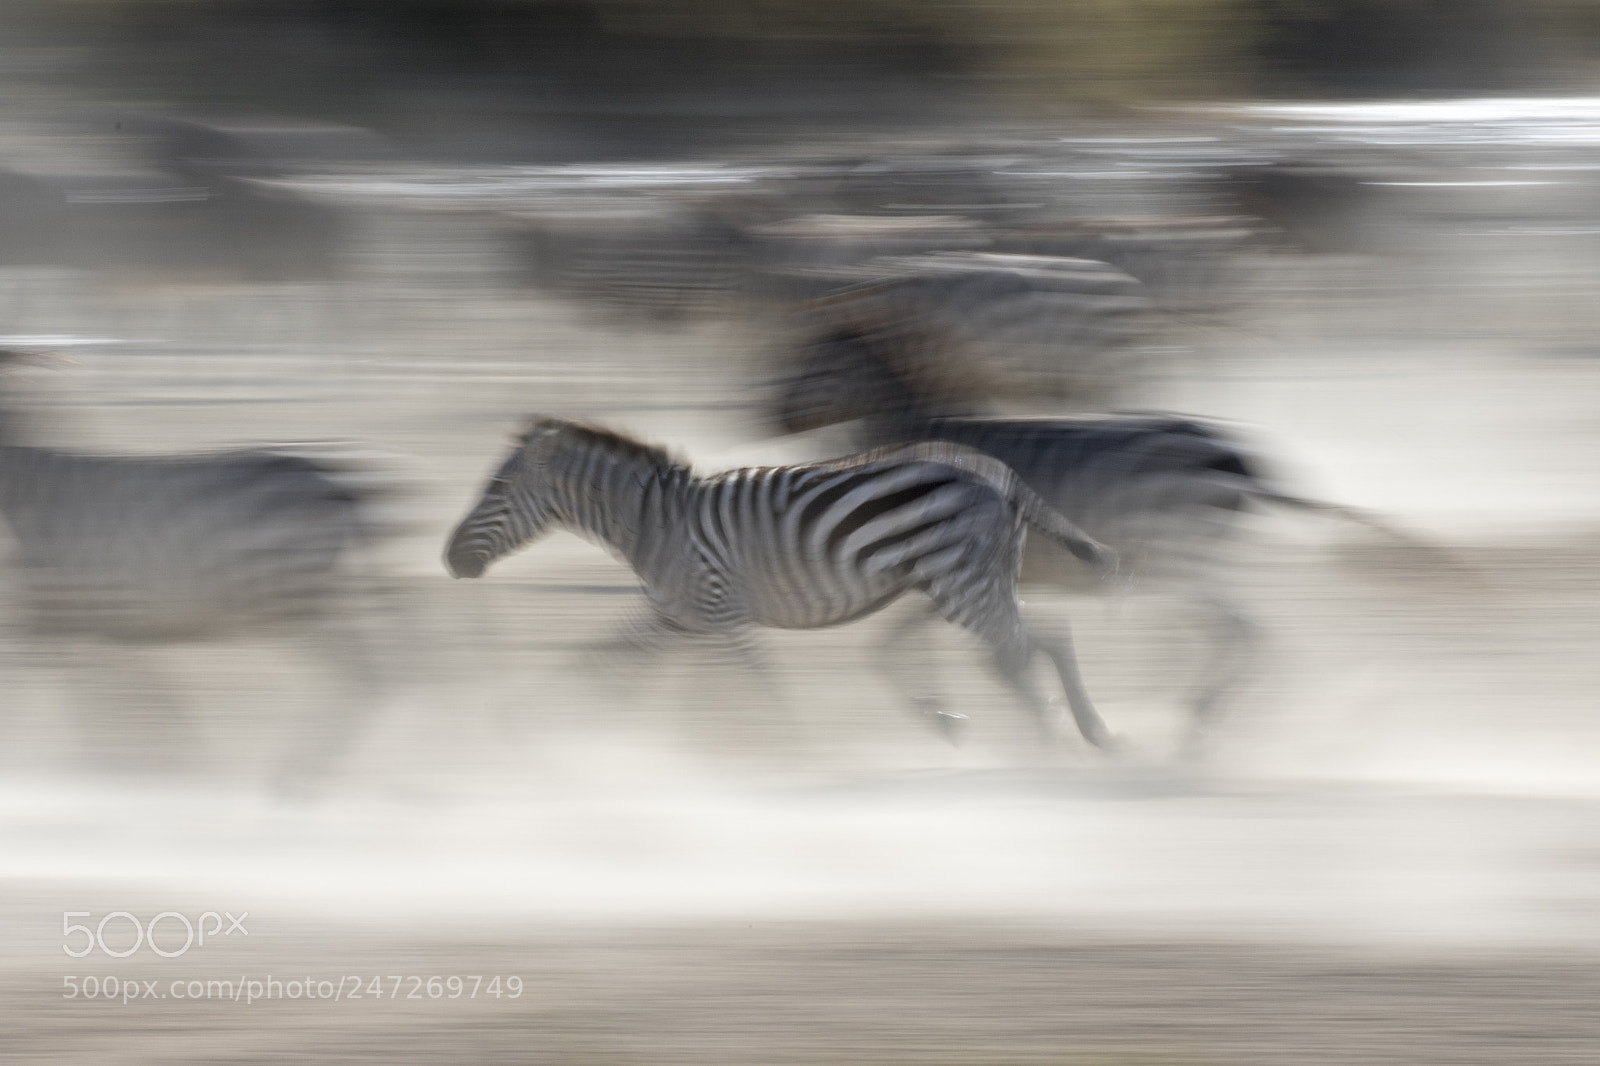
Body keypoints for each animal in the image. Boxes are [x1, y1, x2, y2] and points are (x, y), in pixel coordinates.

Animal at [0, 350, 390, 791]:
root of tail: (327, 481)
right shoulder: (91, 624)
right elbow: (131, 708)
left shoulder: (61, 617)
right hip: (314, 602)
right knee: (369, 675)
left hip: (294, 606)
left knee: (361, 678)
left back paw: (294, 782)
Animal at [443, 416, 1121, 749]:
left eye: (497, 490)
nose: (450, 561)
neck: (649, 522)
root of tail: (998, 471)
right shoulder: (675, 618)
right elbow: (598, 668)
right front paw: (538, 723)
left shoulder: (719, 614)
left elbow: (761, 691)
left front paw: (786, 758)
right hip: (967, 580)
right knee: (1043, 640)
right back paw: (1086, 735)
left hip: (960, 581)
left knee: (1022, 650)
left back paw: (1046, 750)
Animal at [772, 326, 1411, 753]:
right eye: (795, 363)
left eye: (817, 370)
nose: (769, 417)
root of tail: (1230, 451)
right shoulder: (963, 576)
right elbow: (911, 650)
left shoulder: (954, 572)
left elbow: (894, 651)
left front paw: (963, 721)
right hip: (1179, 568)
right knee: (1227, 635)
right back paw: (1196, 717)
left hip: (1178, 562)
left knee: (1239, 632)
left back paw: (1194, 722)